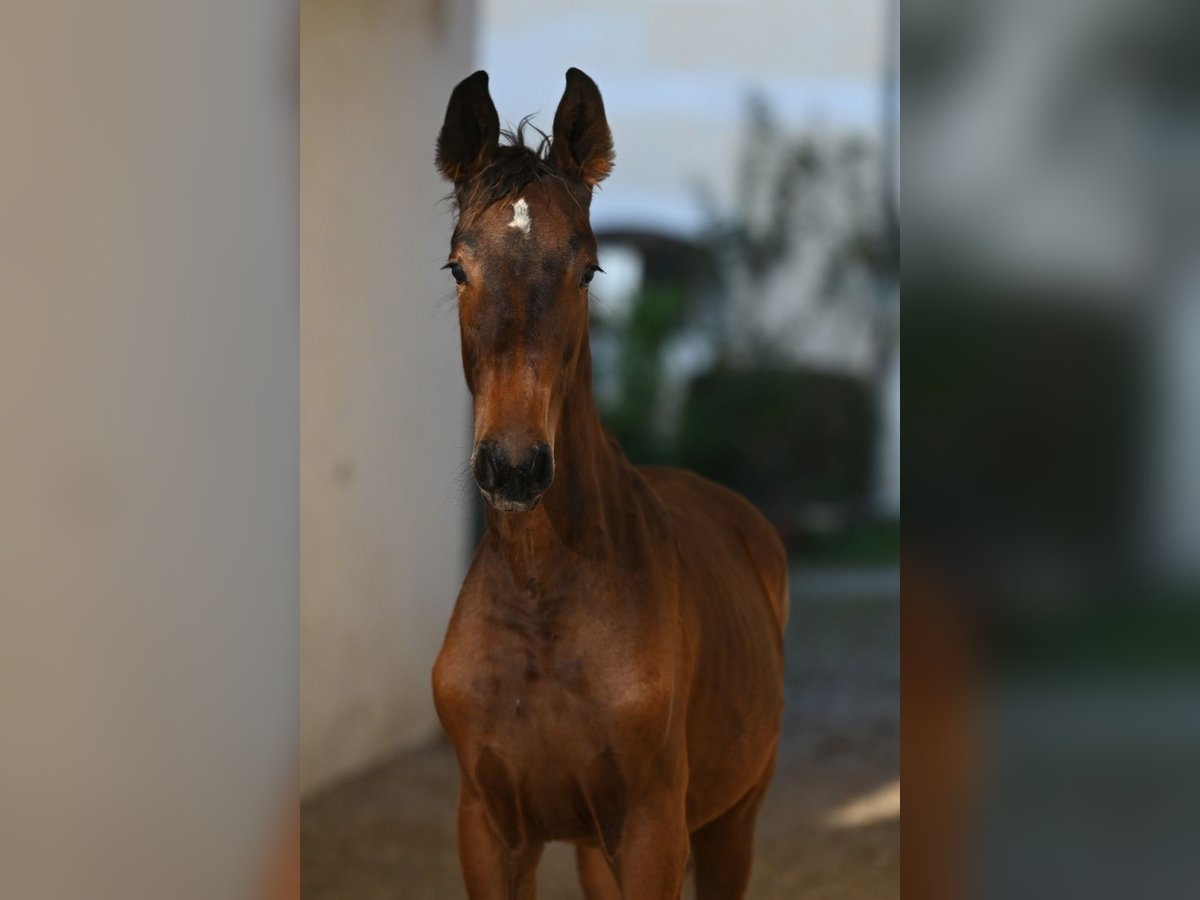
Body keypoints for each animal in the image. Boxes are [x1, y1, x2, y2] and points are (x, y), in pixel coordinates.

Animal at [432, 66, 787, 897]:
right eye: (458, 266)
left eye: (588, 268)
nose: (515, 466)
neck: (542, 607)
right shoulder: (489, 830)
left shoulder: (654, 833)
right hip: (595, 846)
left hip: (732, 818)